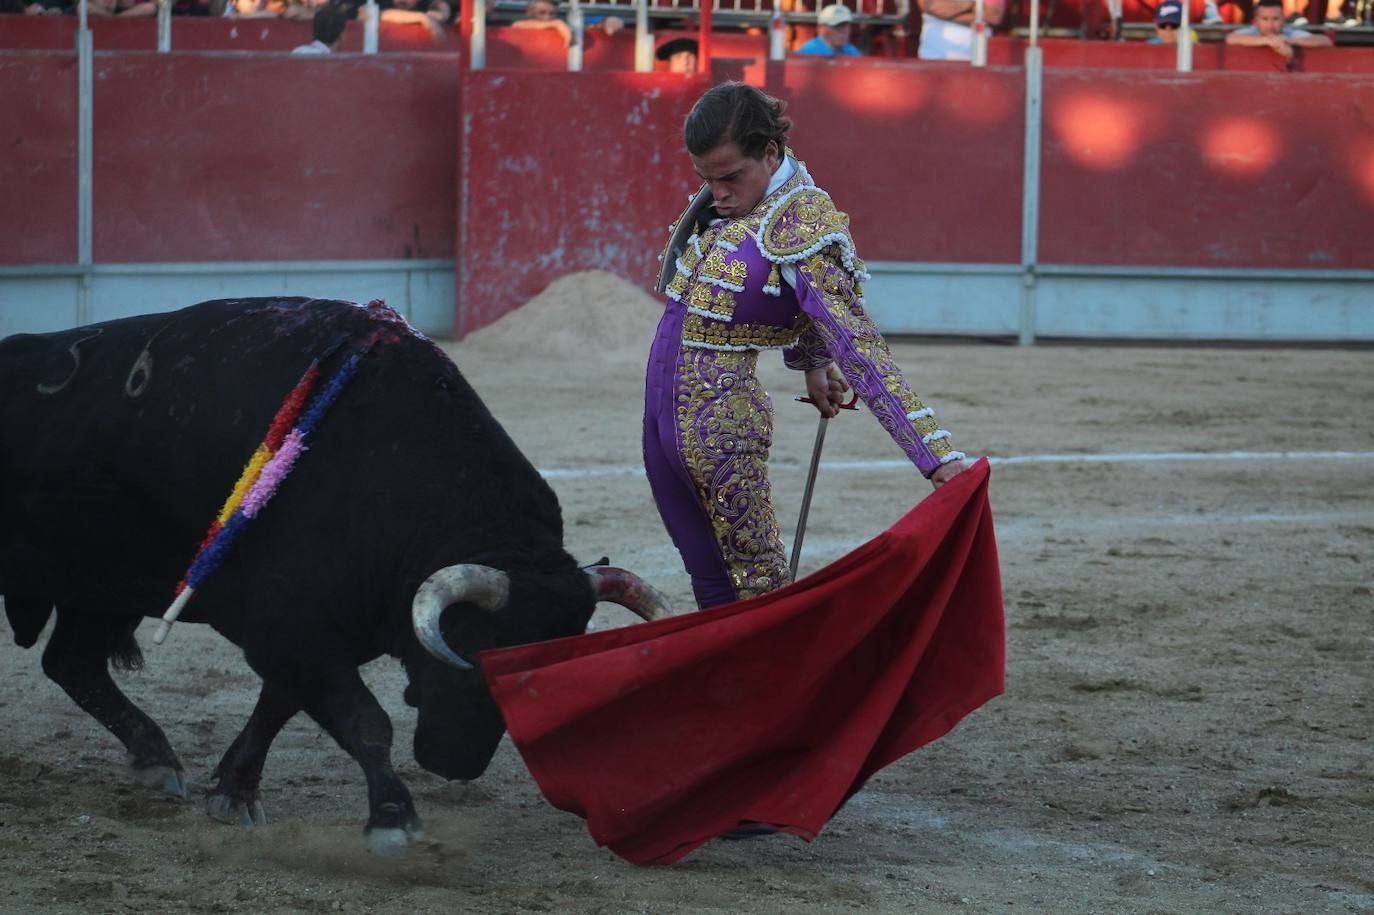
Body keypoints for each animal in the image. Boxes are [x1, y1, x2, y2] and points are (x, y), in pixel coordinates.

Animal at [0, 295, 665, 851]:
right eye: (475, 653)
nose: (455, 765)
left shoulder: (313, 637)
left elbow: (278, 708)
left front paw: (233, 791)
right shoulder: (292, 630)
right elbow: (366, 721)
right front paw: (393, 818)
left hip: (98, 587)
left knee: (72, 663)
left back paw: (155, 760)